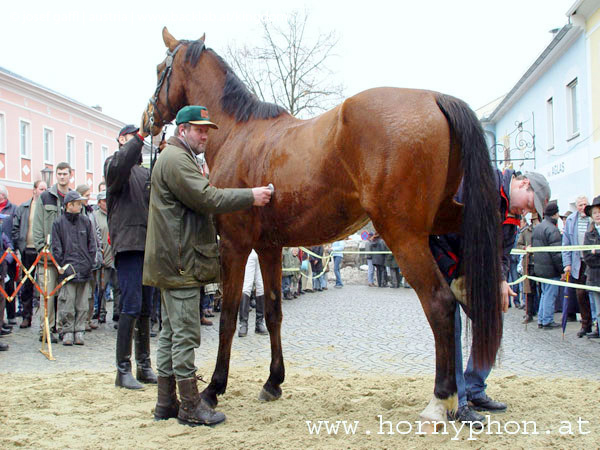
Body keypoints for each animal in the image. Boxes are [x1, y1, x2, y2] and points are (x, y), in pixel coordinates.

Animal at [143, 27, 504, 422]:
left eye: (160, 68)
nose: (147, 120)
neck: (240, 132)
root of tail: (435, 98)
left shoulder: (235, 246)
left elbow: (228, 315)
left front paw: (213, 390)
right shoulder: (269, 247)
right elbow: (273, 311)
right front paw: (273, 382)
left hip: (403, 233)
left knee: (440, 303)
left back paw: (442, 399)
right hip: (445, 217)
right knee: (470, 280)